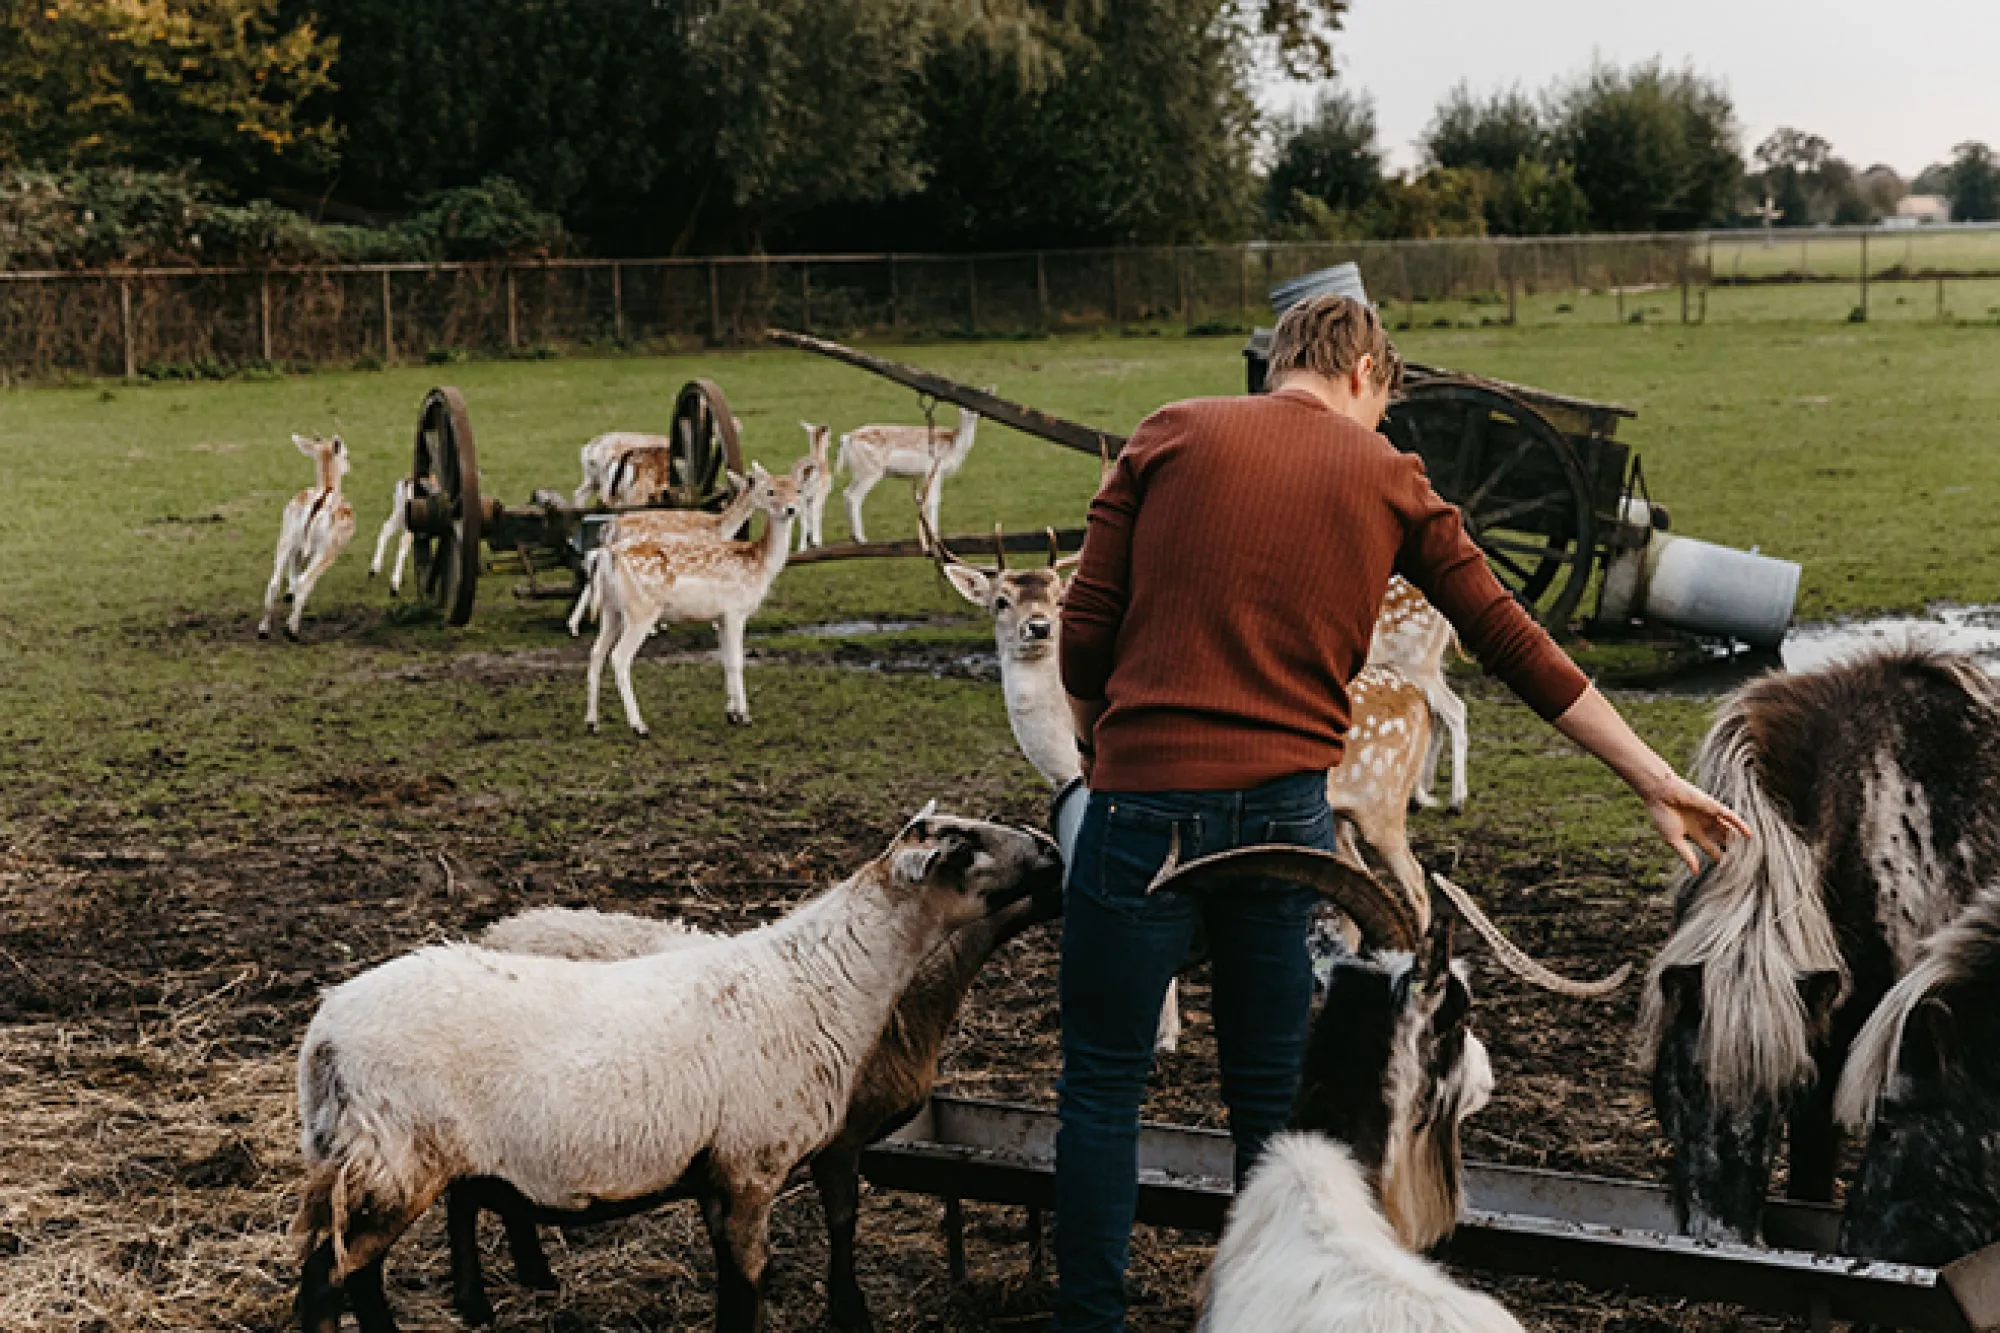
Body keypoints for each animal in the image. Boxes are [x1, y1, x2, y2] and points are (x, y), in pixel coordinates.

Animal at [292, 804, 1064, 1328]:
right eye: (966, 843)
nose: (1053, 849)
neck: (824, 978)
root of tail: (323, 1036)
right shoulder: (753, 1165)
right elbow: (748, 1284)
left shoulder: (721, 1174)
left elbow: (735, 1278)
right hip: (394, 1159)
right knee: (332, 1278)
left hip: (380, 1160)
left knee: (361, 1266)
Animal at [584, 456, 820, 728]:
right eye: (770, 491)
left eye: (798, 490)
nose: (790, 509)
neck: (760, 564)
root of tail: (608, 553)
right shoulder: (735, 611)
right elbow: (737, 661)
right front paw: (745, 716)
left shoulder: (720, 616)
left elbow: (726, 660)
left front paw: (732, 713)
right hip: (640, 610)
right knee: (619, 657)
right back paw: (638, 725)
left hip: (611, 609)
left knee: (596, 652)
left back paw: (592, 722)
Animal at [832, 390, 988, 544]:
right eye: (962, 404)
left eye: (977, 404)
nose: (972, 414)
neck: (953, 445)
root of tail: (848, 438)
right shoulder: (934, 470)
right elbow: (934, 501)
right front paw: (935, 537)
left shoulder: (929, 475)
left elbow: (926, 501)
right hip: (870, 471)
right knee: (854, 496)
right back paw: (861, 538)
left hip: (859, 472)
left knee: (846, 492)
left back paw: (853, 536)